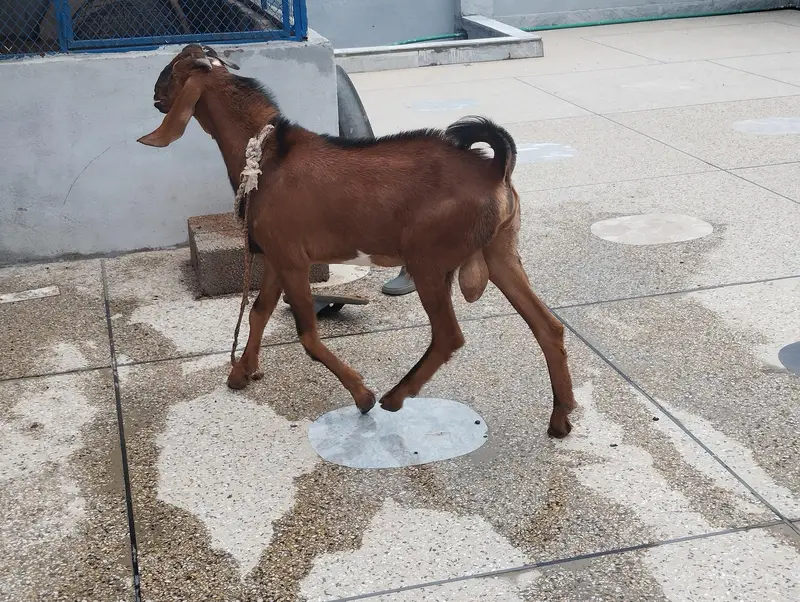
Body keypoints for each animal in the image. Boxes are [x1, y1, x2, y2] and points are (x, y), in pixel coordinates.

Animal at [137, 44, 577, 438]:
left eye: (172, 71)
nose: (155, 96)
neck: (265, 154)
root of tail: (495, 168)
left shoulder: (292, 258)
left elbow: (308, 335)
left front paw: (361, 395)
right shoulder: (278, 256)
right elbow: (259, 312)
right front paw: (240, 373)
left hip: (428, 260)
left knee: (449, 334)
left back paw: (395, 397)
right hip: (500, 251)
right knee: (548, 326)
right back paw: (561, 417)